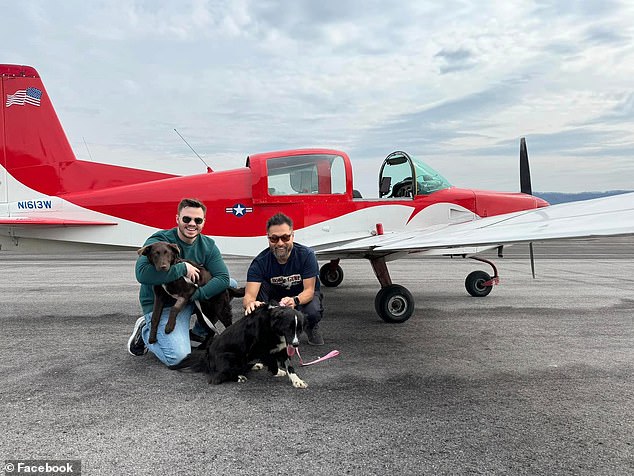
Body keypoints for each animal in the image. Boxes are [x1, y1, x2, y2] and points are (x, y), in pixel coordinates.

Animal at [168, 304, 306, 388]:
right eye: (288, 328)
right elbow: (272, 362)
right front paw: (276, 372)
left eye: (299, 330)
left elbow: (289, 366)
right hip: (231, 356)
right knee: (218, 376)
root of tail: (207, 355)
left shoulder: (283, 347)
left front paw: (297, 380)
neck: (273, 327)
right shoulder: (261, 349)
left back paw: (254, 366)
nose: (296, 344)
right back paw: (239, 376)